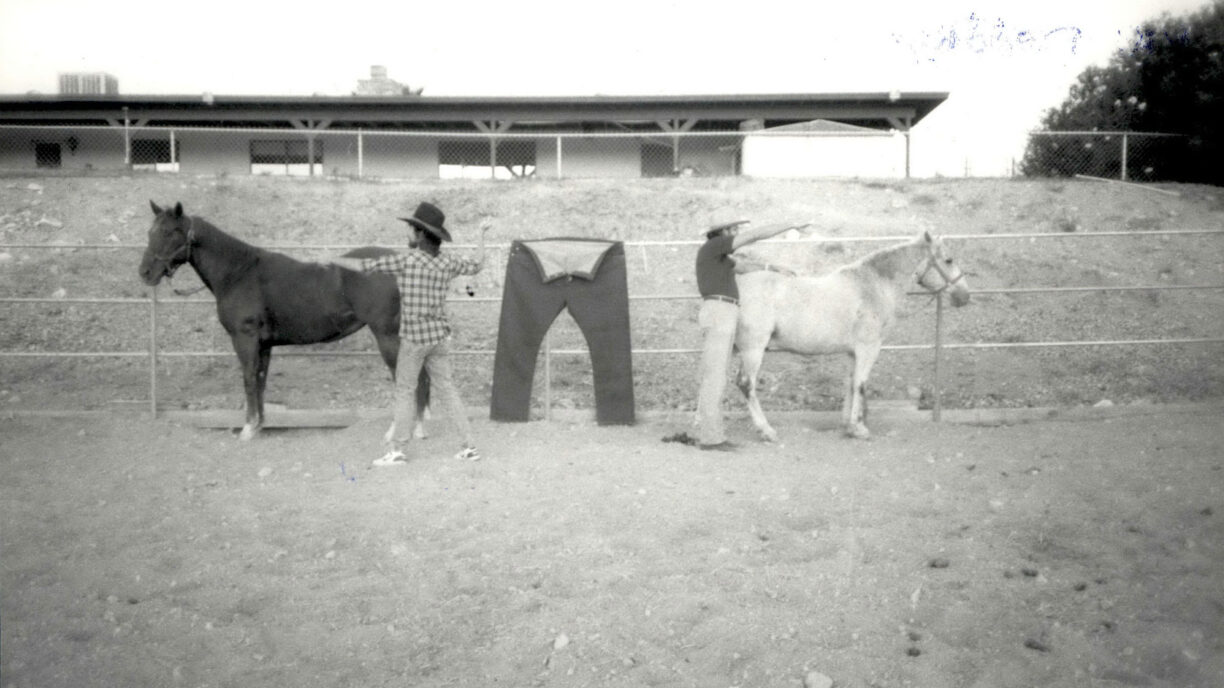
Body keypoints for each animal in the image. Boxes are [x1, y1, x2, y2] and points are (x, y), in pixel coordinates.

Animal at [136, 200, 425, 440]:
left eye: (170, 232)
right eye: (150, 232)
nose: (145, 273)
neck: (239, 272)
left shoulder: (245, 339)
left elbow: (248, 378)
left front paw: (248, 429)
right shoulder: (263, 345)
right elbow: (261, 380)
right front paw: (260, 425)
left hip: (387, 336)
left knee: (405, 377)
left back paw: (398, 430)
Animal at [729, 230, 969, 438]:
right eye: (948, 260)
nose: (964, 296)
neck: (872, 287)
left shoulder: (853, 352)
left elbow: (850, 382)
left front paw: (847, 424)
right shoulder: (868, 348)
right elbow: (860, 384)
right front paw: (858, 428)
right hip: (754, 349)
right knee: (746, 384)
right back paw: (766, 430)